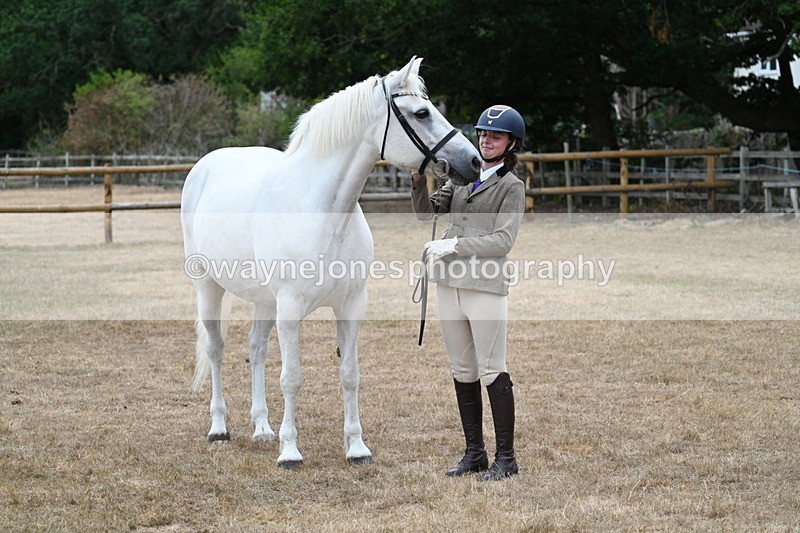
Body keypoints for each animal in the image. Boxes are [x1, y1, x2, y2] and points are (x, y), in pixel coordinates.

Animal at [181, 57, 481, 469]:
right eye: (421, 113)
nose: (474, 161)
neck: (325, 211)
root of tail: (205, 165)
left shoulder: (351, 305)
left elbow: (350, 373)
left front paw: (356, 447)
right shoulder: (290, 308)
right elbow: (291, 377)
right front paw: (290, 451)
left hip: (264, 300)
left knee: (256, 350)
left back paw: (262, 428)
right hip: (208, 287)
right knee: (216, 348)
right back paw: (219, 427)